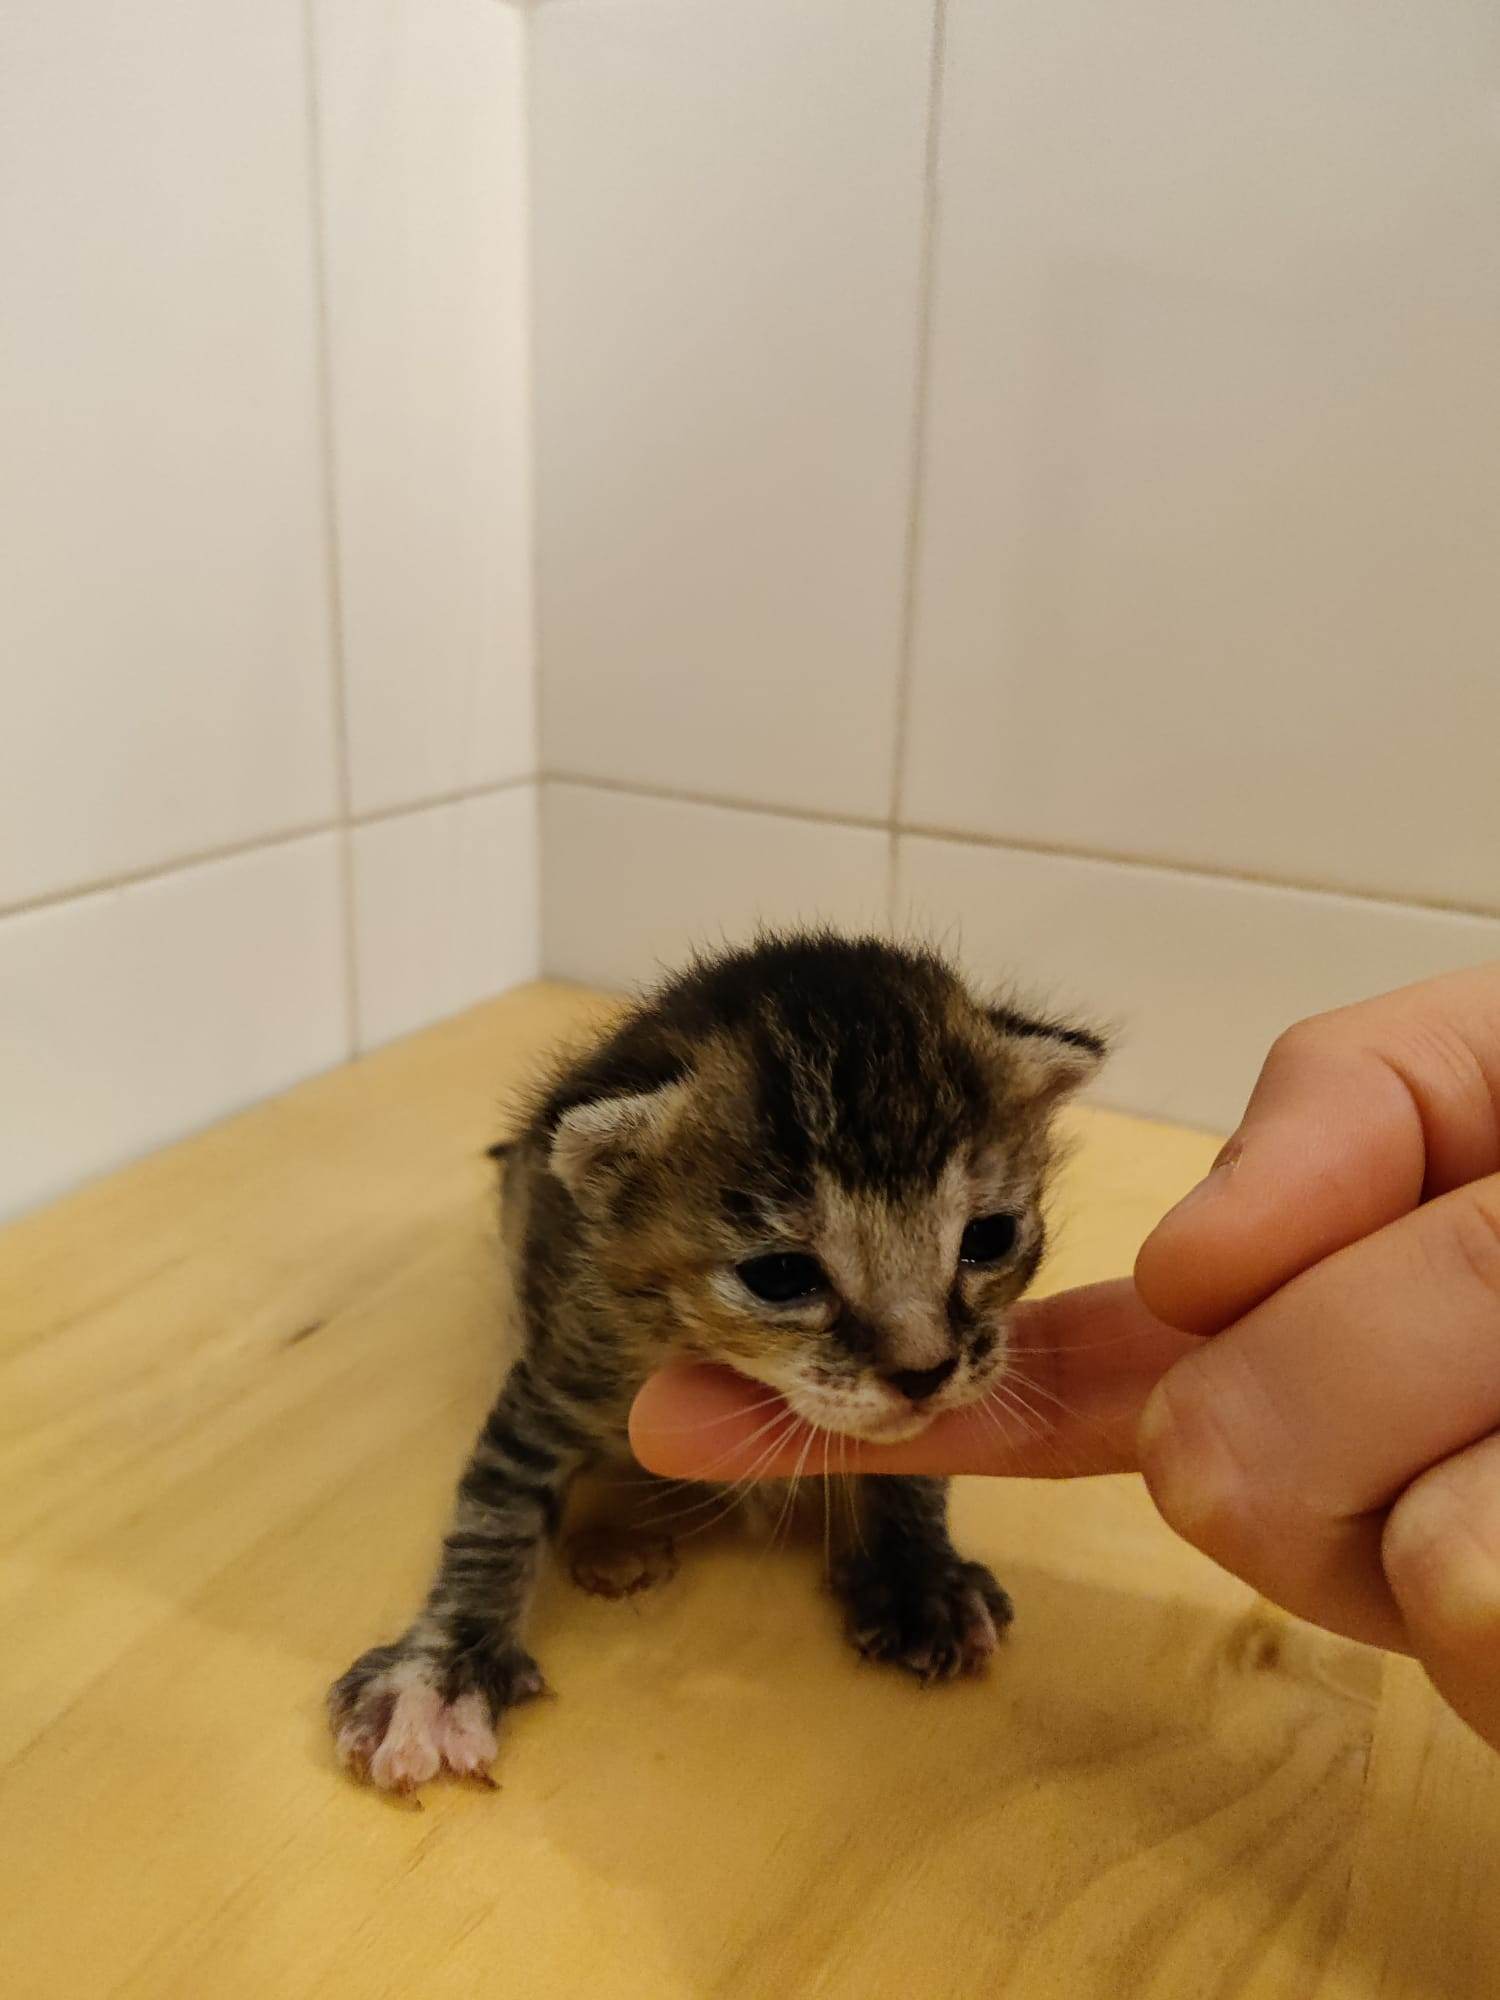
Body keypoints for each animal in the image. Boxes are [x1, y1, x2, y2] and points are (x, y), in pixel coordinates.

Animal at [328, 932, 1105, 1791]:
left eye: (989, 1238)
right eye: (782, 1276)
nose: (925, 1371)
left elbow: (913, 1464)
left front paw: (920, 1576)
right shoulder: (560, 1369)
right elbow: (493, 1513)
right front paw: (440, 1675)